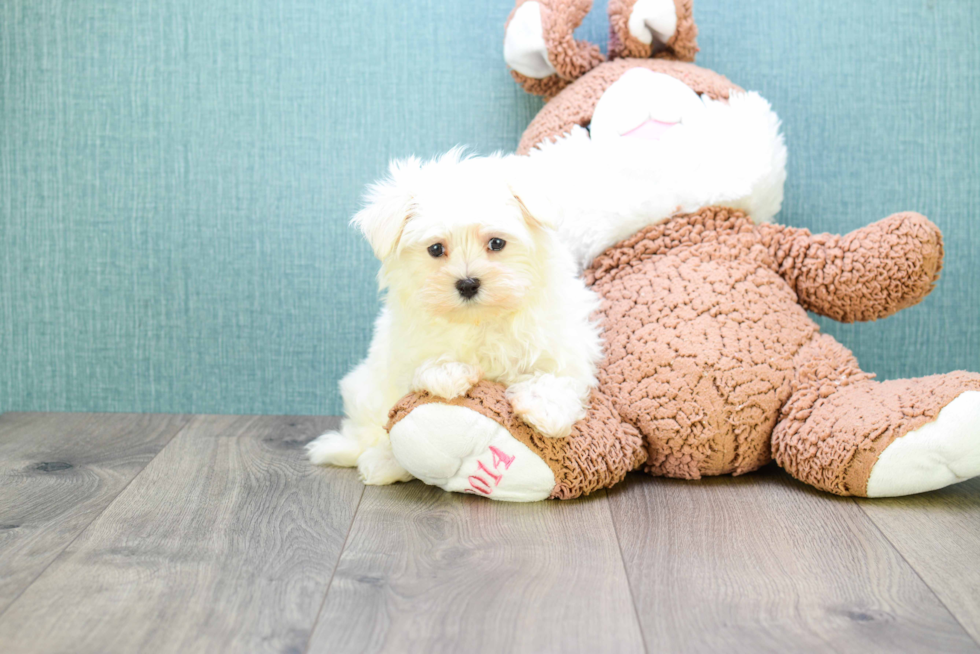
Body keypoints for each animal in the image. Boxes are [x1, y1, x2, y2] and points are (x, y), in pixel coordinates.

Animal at [310, 150, 604, 486]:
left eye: (497, 243)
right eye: (436, 249)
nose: (467, 283)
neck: (479, 320)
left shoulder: (563, 344)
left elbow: (558, 377)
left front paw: (545, 409)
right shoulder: (404, 351)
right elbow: (424, 367)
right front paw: (449, 373)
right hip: (366, 388)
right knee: (372, 432)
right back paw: (381, 462)